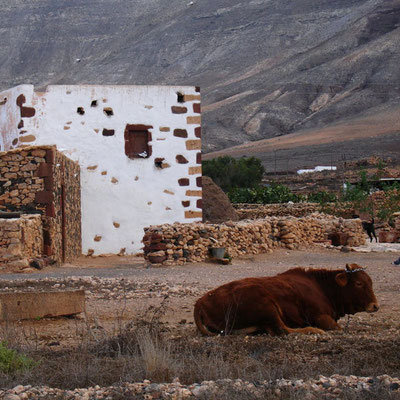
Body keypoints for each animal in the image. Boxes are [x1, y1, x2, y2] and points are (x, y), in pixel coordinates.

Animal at [194, 264, 378, 336]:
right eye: (359, 283)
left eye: (371, 282)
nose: (375, 306)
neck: (321, 287)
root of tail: (201, 301)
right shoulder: (320, 316)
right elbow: (337, 328)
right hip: (266, 305)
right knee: (282, 330)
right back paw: (312, 330)